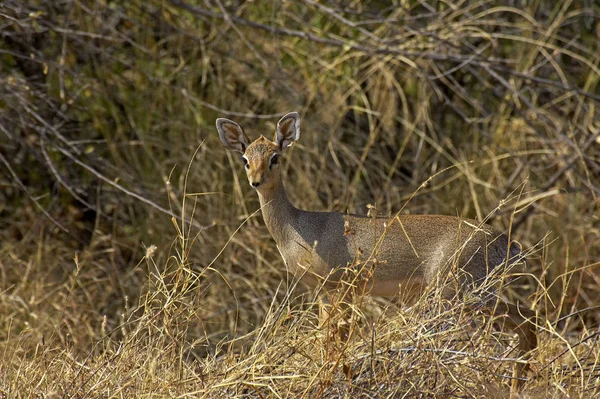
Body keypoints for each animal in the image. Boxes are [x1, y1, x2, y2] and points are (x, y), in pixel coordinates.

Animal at [217, 111, 540, 388]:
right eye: (245, 158)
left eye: (275, 157)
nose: (255, 181)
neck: (298, 228)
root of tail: (505, 242)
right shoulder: (326, 293)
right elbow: (328, 340)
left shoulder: (340, 289)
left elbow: (334, 342)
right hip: (477, 294)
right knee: (527, 319)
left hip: (457, 295)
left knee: (525, 320)